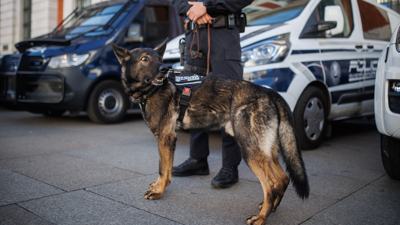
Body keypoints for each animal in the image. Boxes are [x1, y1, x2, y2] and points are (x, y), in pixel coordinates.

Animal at [111, 39, 310, 224]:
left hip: (249, 149)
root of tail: (268, 92)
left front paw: (158, 191)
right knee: (283, 179)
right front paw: (157, 187)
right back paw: (270, 209)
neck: (151, 91)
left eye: (159, 58)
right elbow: (164, 169)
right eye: (145, 59)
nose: (164, 68)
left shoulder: (165, 139)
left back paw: (261, 218)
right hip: (266, 152)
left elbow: (162, 169)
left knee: (271, 184)